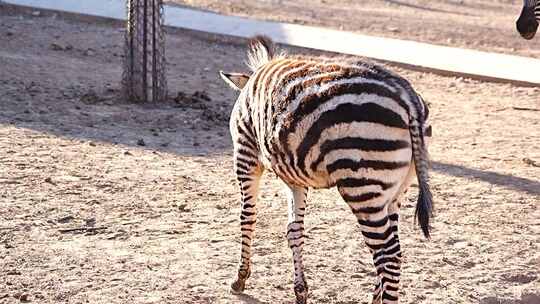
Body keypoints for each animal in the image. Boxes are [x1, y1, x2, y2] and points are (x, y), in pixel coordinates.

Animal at [219, 36, 434, 304]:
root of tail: (408, 99)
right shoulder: (296, 178)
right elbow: (294, 230)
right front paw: (300, 291)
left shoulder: (245, 153)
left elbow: (247, 217)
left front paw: (240, 278)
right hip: (395, 189)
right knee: (393, 249)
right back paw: (375, 295)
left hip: (363, 187)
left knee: (388, 255)